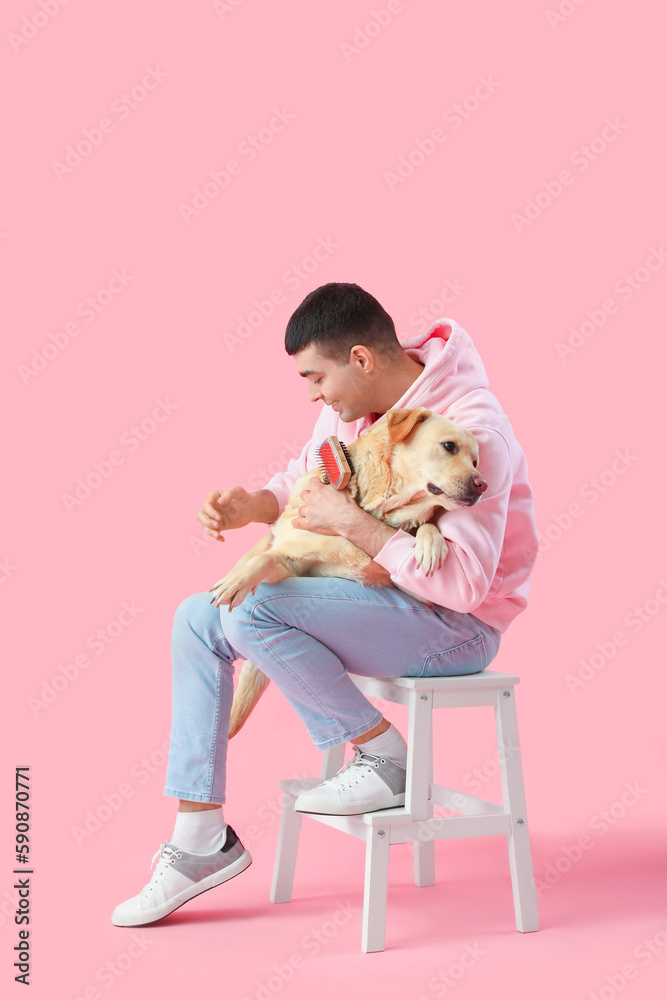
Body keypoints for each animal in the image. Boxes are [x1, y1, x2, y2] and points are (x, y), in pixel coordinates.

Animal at [211, 402, 488, 740]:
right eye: (449, 446)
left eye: (476, 461)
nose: (483, 485)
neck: (375, 509)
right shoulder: (291, 562)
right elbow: (266, 560)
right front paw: (237, 581)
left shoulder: (416, 592)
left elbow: (425, 530)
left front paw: (430, 543)